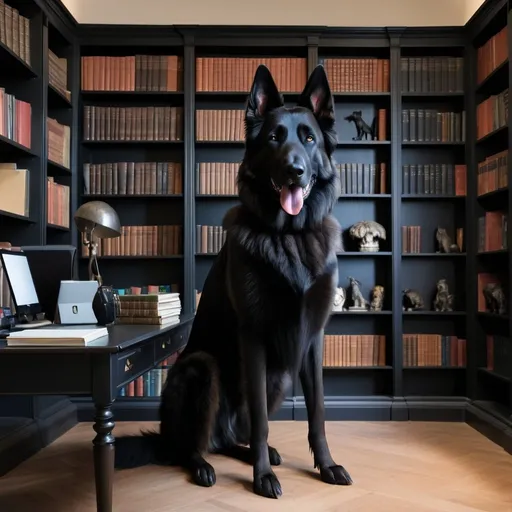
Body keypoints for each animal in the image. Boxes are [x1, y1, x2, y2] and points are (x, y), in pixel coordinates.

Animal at [113, 64, 352, 500]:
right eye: (274, 138)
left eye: (308, 138)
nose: (295, 171)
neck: (288, 236)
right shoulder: (252, 337)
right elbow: (260, 420)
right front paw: (262, 478)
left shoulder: (312, 340)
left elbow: (318, 414)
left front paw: (326, 466)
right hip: (202, 368)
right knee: (193, 445)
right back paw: (203, 466)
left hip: (280, 376)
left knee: (225, 438)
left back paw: (248, 452)